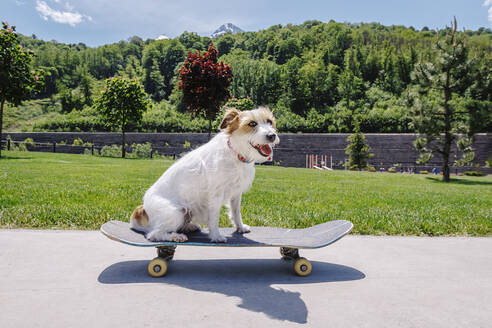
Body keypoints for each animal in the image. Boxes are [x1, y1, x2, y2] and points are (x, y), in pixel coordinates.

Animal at [129, 106, 278, 242]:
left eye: (270, 121)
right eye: (252, 124)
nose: (272, 136)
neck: (235, 153)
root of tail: (142, 208)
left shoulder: (236, 192)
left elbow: (236, 212)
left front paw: (240, 227)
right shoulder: (216, 195)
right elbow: (214, 217)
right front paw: (216, 236)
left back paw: (189, 227)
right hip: (177, 212)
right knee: (154, 234)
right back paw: (176, 236)